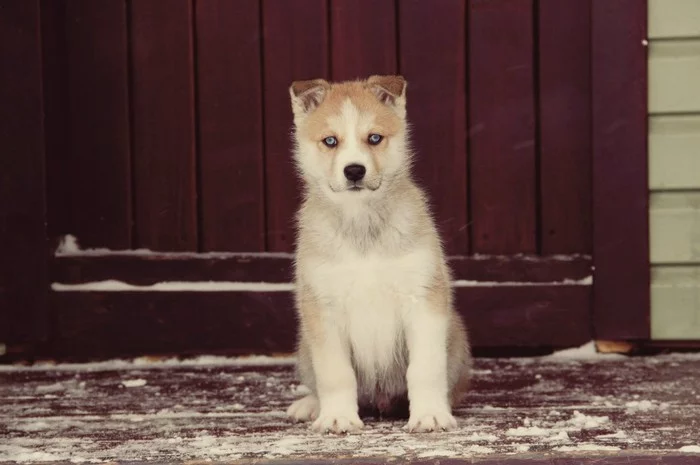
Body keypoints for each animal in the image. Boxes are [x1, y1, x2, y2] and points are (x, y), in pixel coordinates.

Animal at [284, 74, 470, 434]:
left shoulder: (422, 299)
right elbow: (335, 373)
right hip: (303, 345)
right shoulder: (323, 308)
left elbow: (425, 369)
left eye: (374, 138)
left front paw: (429, 414)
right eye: (330, 141)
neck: (362, 226)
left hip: (455, 334)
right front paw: (338, 417)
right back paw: (310, 405)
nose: (354, 171)